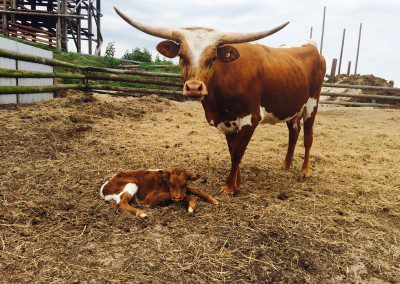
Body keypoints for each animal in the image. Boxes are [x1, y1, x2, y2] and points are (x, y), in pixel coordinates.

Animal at [114, 8, 326, 195]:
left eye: (213, 57)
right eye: (182, 56)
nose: (194, 88)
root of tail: (312, 47)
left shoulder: (251, 118)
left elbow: (239, 152)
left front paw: (229, 187)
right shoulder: (225, 121)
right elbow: (233, 151)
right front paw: (237, 182)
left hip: (312, 105)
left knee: (308, 137)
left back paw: (304, 171)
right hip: (292, 106)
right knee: (294, 132)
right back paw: (286, 164)